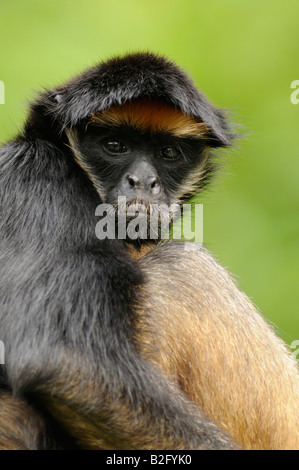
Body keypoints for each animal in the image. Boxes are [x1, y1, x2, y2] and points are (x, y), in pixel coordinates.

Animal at [0, 53, 298, 450]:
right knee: (183, 264)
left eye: (168, 153)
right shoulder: (36, 178)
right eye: (115, 145)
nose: (143, 181)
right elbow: (61, 359)